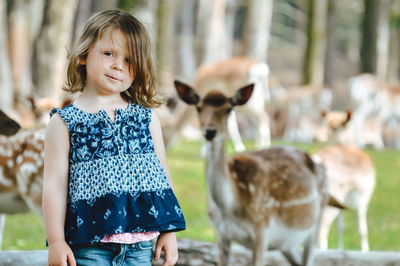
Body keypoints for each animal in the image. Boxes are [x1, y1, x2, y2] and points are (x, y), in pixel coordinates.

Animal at [175, 80, 340, 266]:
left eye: (229, 109)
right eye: (198, 107)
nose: (210, 132)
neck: (229, 205)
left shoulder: (262, 228)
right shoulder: (221, 235)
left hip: (315, 223)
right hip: (286, 242)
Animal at [312, 110, 376, 251]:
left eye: (334, 126)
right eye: (322, 123)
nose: (316, 137)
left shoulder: (343, 204)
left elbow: (340, 227)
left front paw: (340, 249)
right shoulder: (363, 198)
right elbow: (363, 230)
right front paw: (365, 251)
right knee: (321, 231)